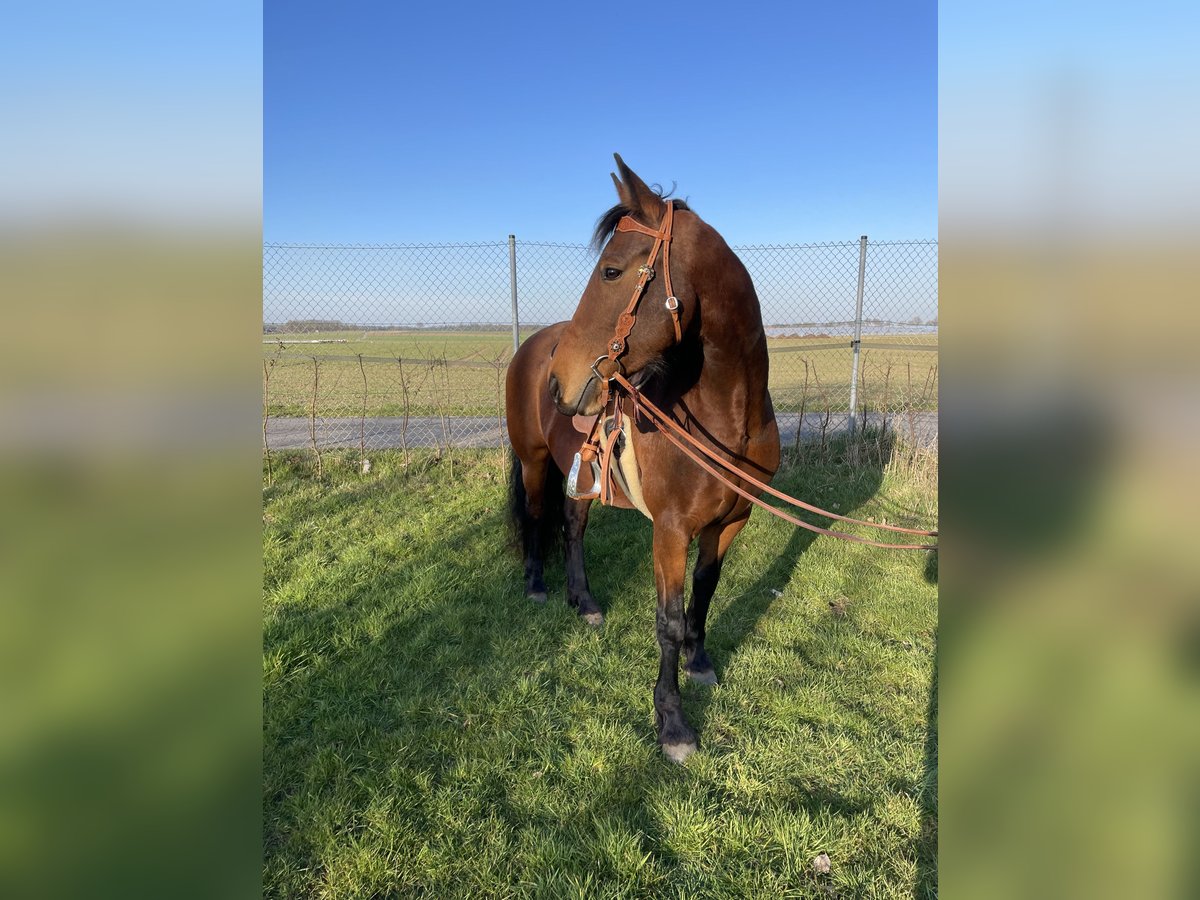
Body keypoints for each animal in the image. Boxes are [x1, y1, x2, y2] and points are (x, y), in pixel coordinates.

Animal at [504, 153, 777, 763]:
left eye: (611, 272)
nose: (560, 381)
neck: (727, 418)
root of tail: (533, 348)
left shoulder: (730, 522)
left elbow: (705, 592)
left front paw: (701, 662)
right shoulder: (670, 531)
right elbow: (668, 621)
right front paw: (672, 723)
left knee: (572, 527)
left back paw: (582, 601)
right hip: (533, 460)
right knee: (536, 515)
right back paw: (536, 586)